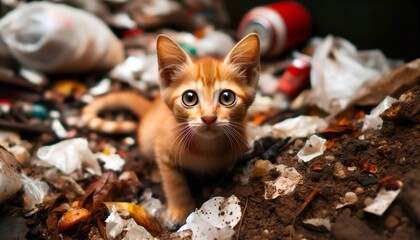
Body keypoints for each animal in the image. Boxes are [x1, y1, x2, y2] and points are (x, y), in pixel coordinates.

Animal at [81, 32, 260, 224]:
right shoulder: (163, 150)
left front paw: (212, 189)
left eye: (227, 97)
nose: (208, 117)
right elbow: (174, 182)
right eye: (190, 97)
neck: (205, 148)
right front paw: (180, 208)